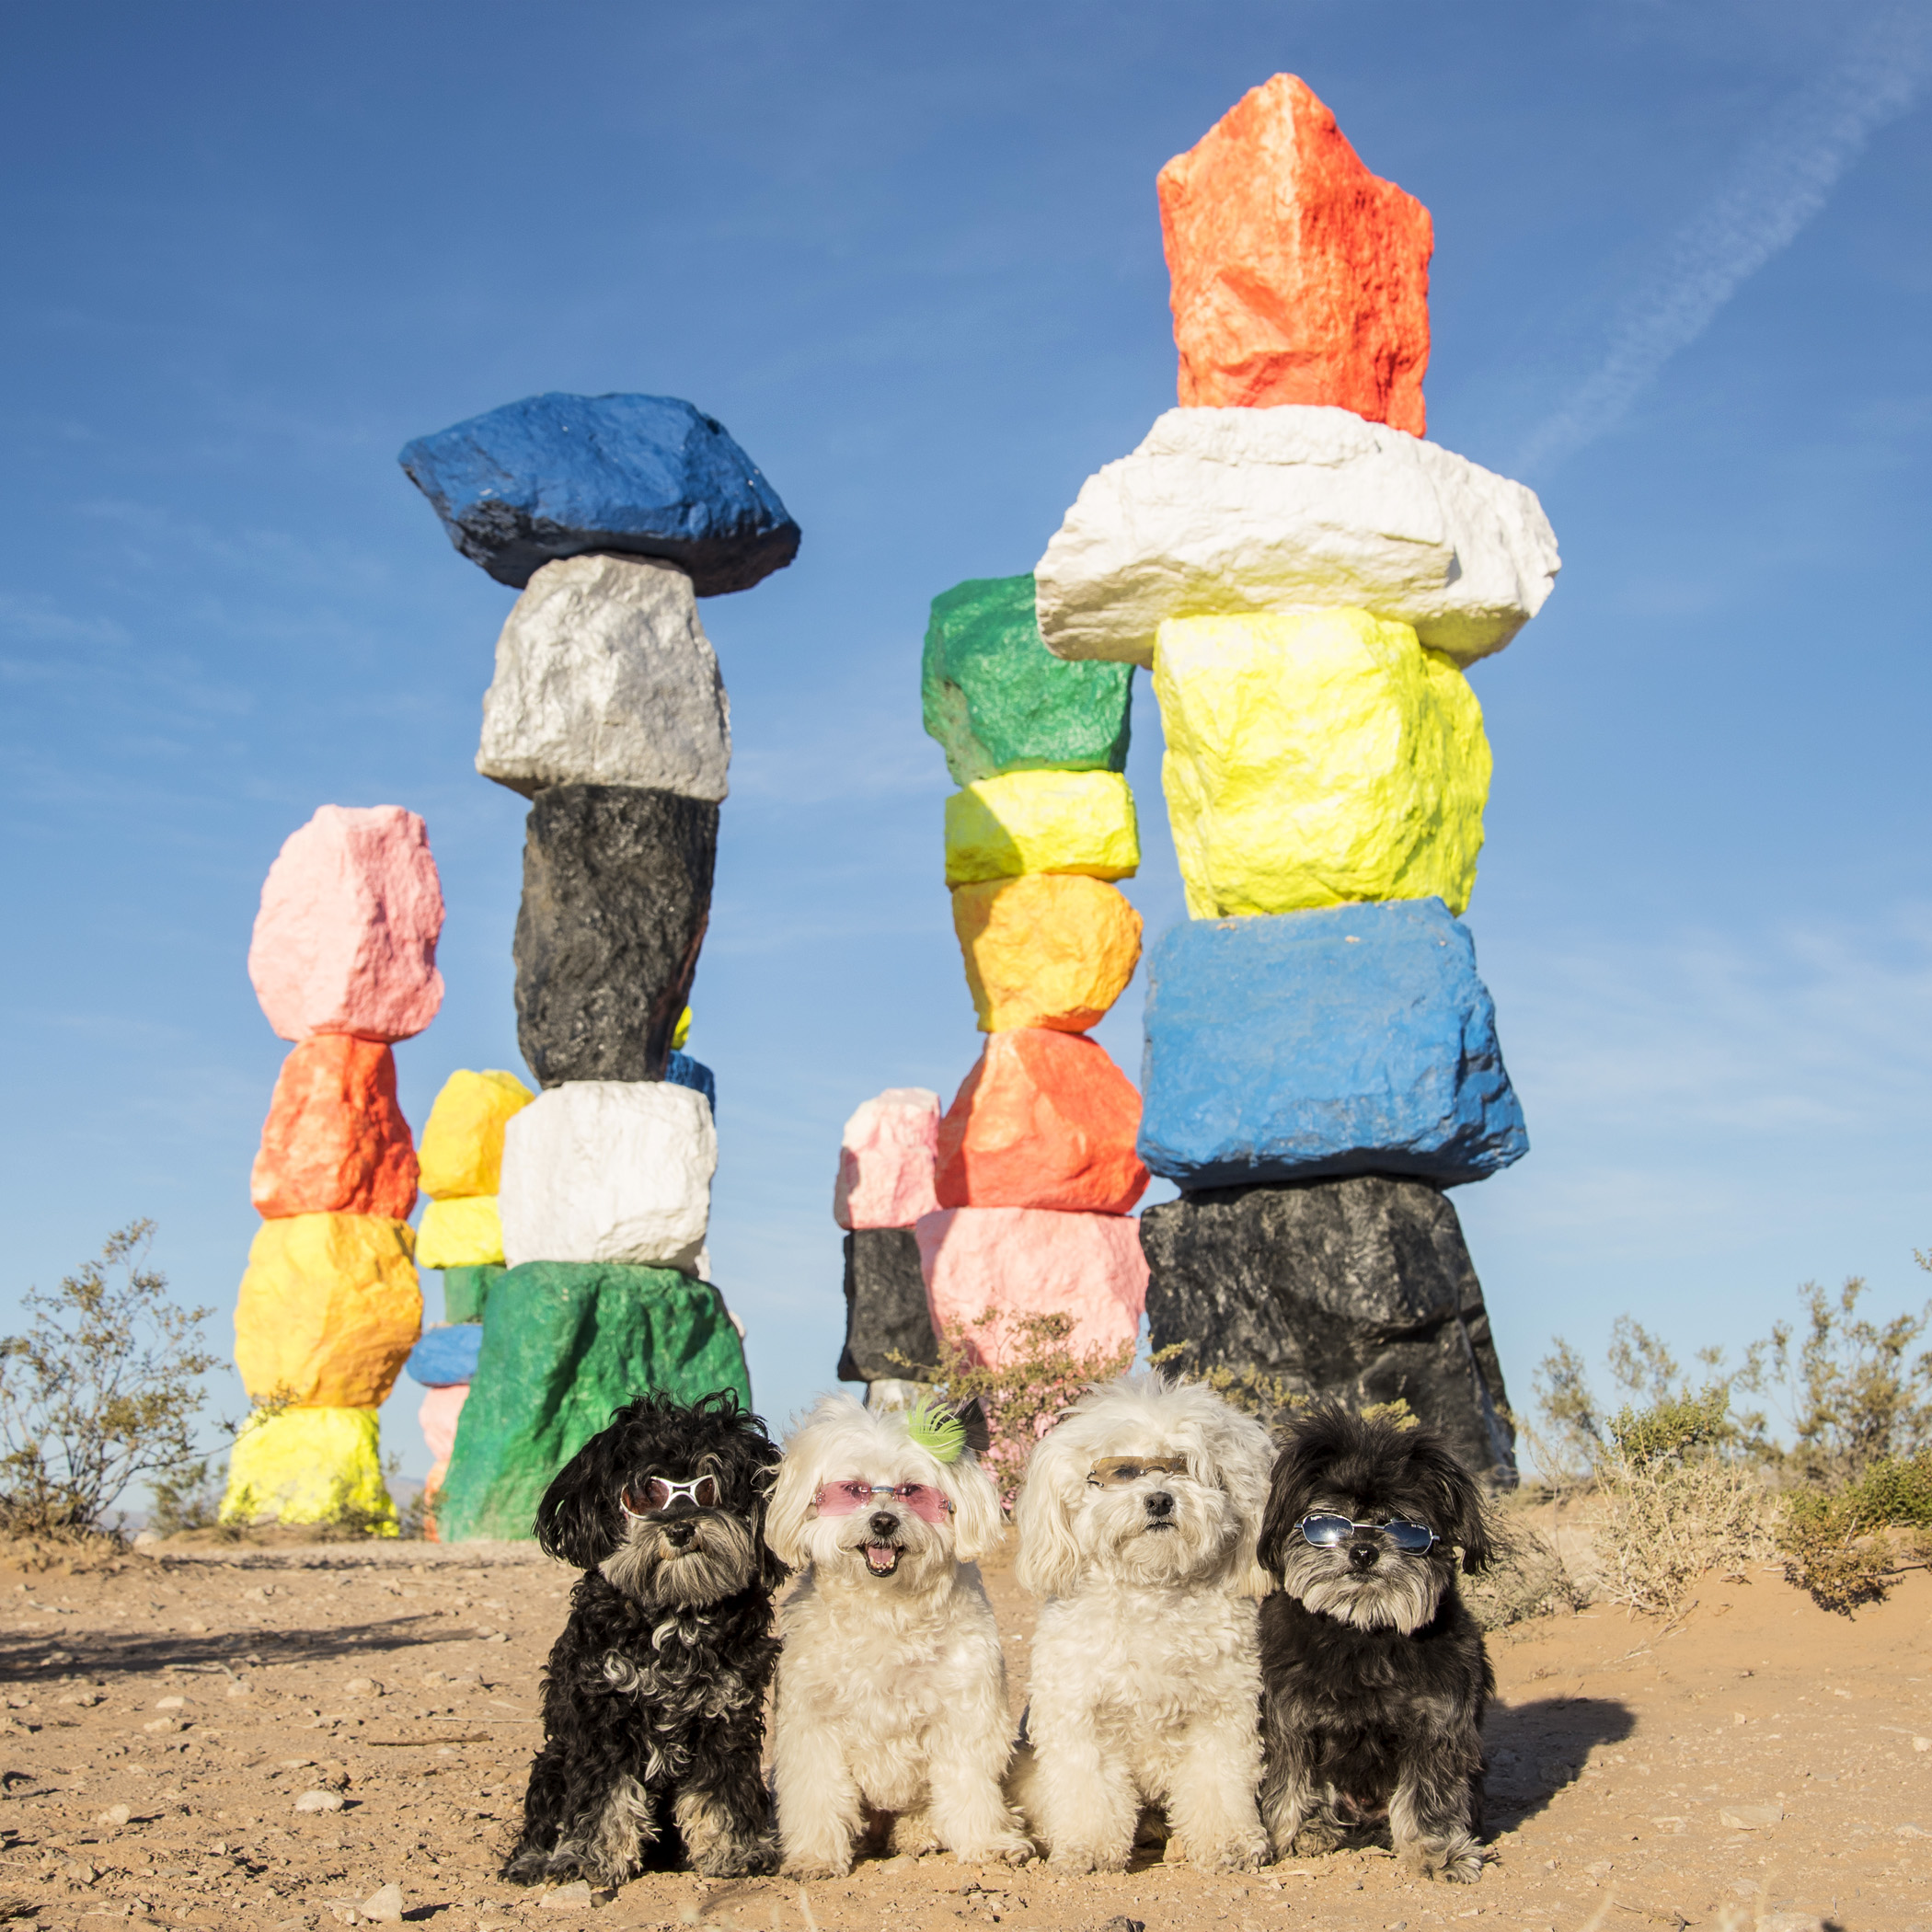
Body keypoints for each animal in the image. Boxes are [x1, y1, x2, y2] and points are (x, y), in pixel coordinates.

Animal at [513, 1390, 791, 1885]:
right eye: (644, 1493)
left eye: (708, 1485)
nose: (680, 1528)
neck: (673, 1613)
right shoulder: (603, 1713)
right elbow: (604, 1794)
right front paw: (590, 1859)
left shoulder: (727, 1712)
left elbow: (722, 1788)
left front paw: (735, 1850)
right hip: (552, 1761)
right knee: (544, 1814)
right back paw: (535, 1859)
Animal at [757, 1398, 1035, 1878]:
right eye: (853, 1490)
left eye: (913, 1491)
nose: (883, 1520)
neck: (886, 1609)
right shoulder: (813, 1722)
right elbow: (816, 1793)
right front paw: (814, 1855)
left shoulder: (964, 1713)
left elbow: (970, 1785)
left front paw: (988, 1843)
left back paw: (919, 1834)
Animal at [1012, 1367, 1282, 1878]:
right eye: (1121, 1473)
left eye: (1184, 1466)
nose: (1159, 1499)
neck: (1151, 1591)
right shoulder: (1082, 1716)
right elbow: (1089, 1789)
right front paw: (1088, 1848)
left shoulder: (1222, 1711)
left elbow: (1220, 1782)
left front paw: (1229, 1844)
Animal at [1251, 1406, 1491, 1885]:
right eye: (1328, 1520)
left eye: (1404, 1526)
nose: (1363, 1550)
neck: (1362, 1632)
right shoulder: (1289, 1719)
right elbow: (1289, 1784)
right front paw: (1287, 1836)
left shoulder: (1439, 1722)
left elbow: (1429, 1794)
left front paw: (1436, 1851)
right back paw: (1317, 1830)